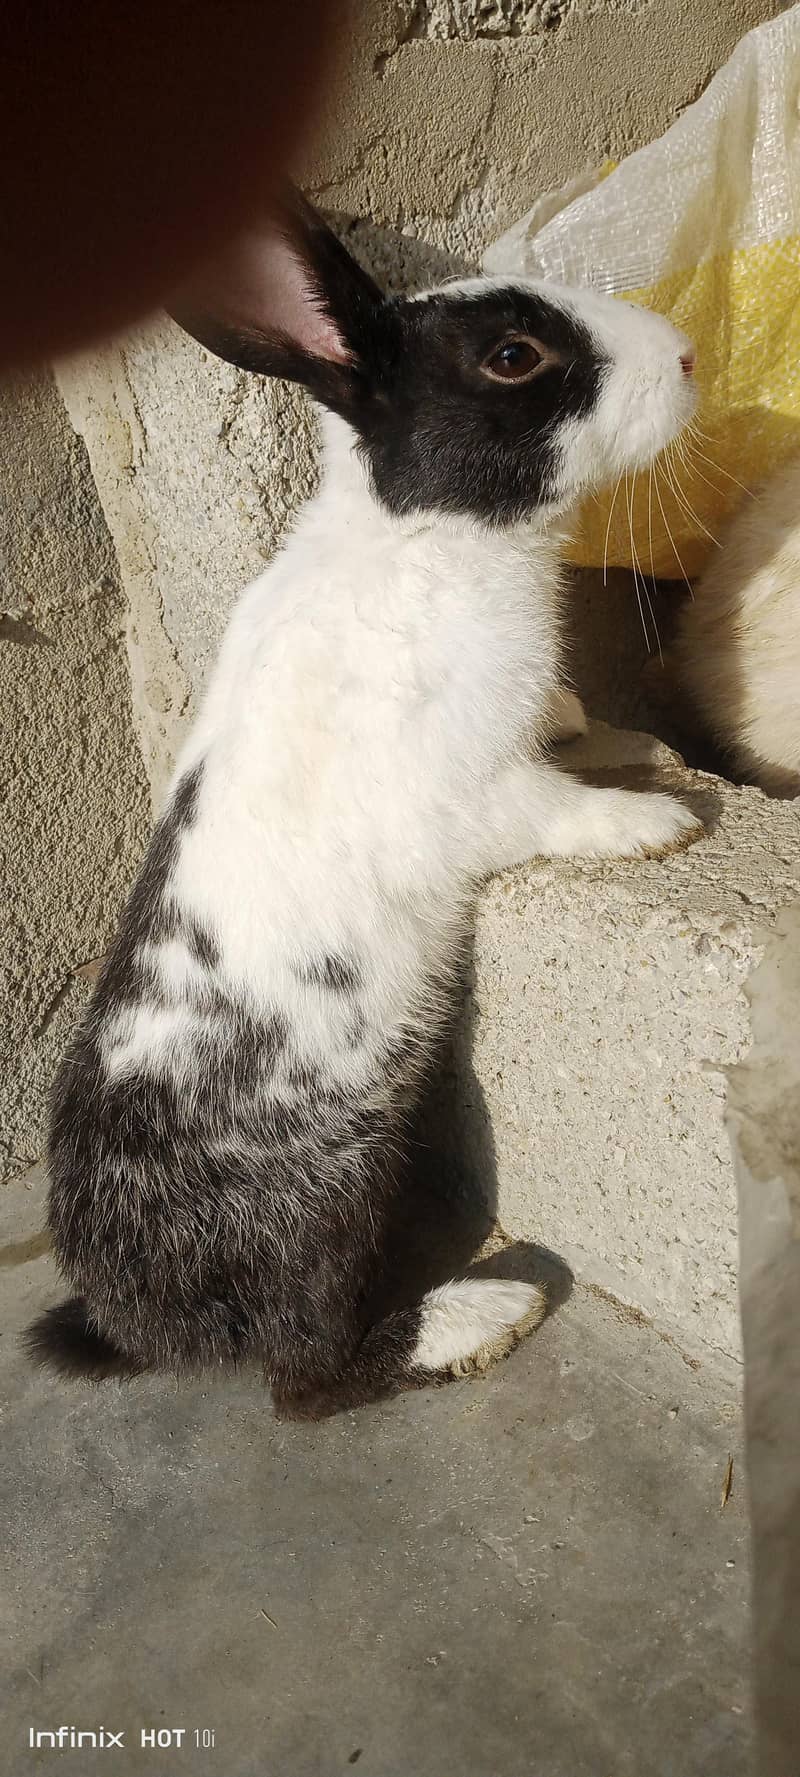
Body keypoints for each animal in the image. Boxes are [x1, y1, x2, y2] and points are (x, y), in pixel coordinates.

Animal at [26, 187, 701, 1417]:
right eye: (513, 355)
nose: (686, 355)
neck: (424, 535)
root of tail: (130, 1311)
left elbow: (564, 729)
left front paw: (606, 726)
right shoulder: (478, 792)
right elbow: (557, 809)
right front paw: (660, 822)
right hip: (328, 1206)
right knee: (307, 1379)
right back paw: (482, 1313)